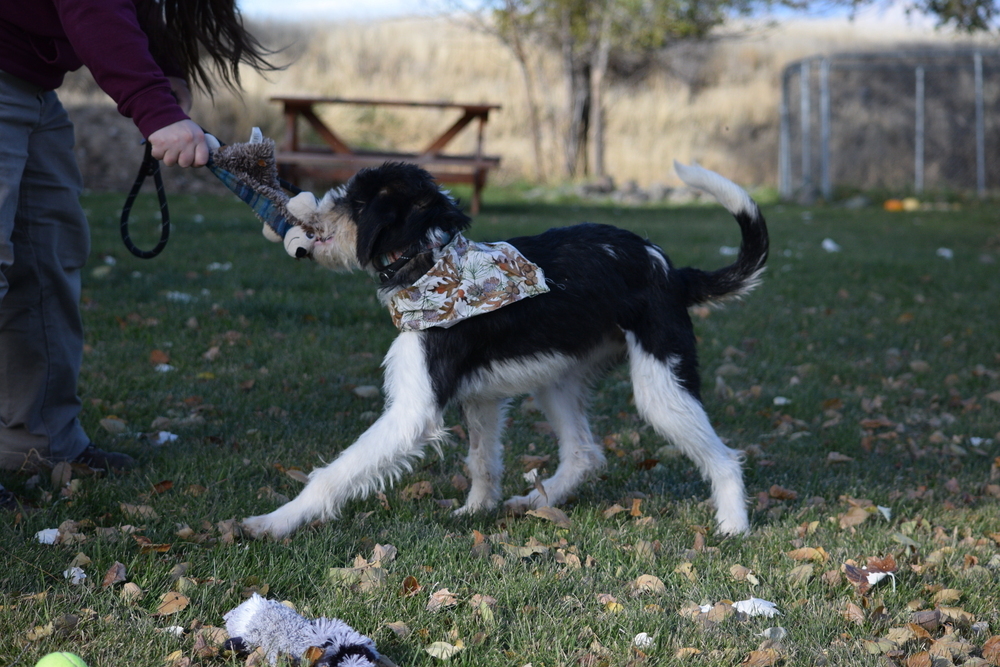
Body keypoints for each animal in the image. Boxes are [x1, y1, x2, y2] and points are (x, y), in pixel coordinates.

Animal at [240, 162, 764, 544]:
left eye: (356, 201)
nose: (300, 209)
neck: (432, 263)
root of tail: (672, 271)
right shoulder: (483, 399)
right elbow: (482, 461)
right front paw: (477, 510)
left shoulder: (413, 410)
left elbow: (334, 472)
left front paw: (275, 521)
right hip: (557, 378)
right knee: (584, 453)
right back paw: (537, 500)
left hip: (662, 387)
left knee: (724, 457)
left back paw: (733, 526)